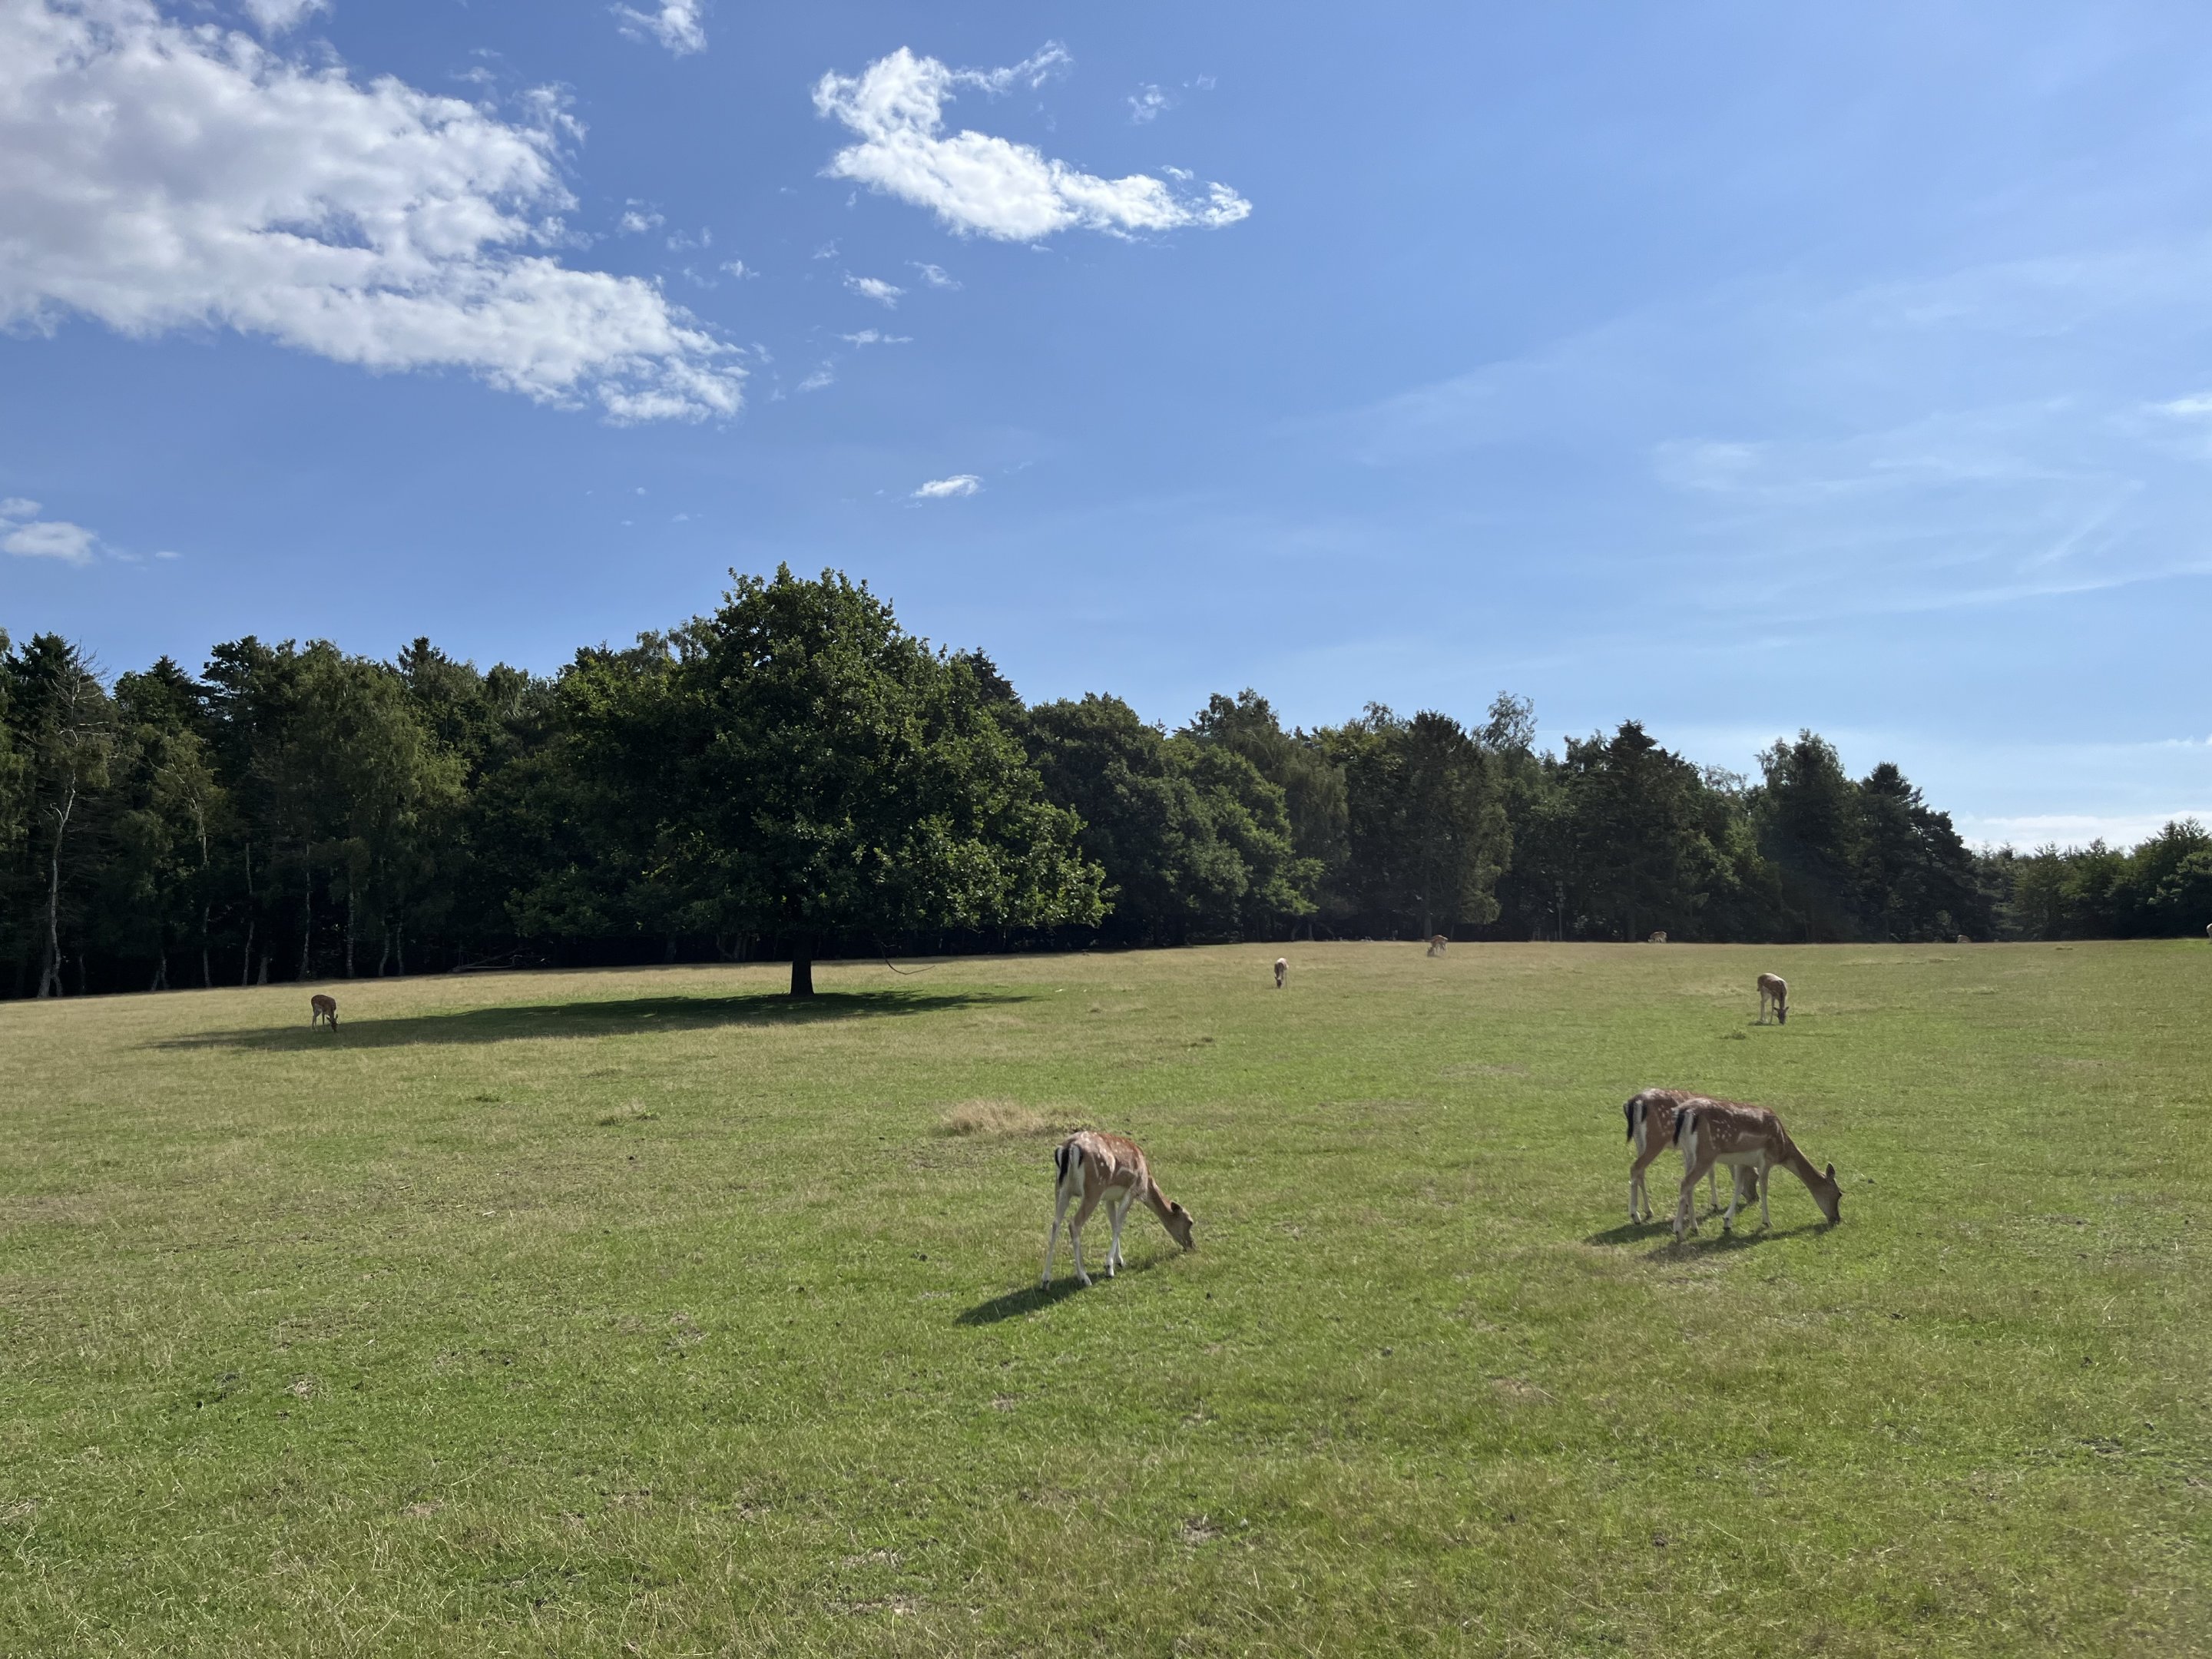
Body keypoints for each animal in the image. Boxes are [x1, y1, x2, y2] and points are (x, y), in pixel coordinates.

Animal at [1042, 1131, 1195, 1288]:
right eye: (1190, 1222)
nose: (1191, 1245)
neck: (1146, 1185)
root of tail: (1069, 1147)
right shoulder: (1132, 1191)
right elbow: (1119, 1226)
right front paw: (1109, 1268)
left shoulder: (1109, 1198)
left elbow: (1114, 1223)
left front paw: (1119, 1261)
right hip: (1094, 1188)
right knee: (1074, 1223)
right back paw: (1084, 1277)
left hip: (1061, 1188)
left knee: (1055, 1224)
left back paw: (1046, 1280)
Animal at [1671, 1097, 1841, 1241]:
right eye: (1839, 1194)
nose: (1837, 1219)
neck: (1783, 1150)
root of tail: (1685, 1112)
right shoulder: (1766, 1159)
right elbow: (1764, 1188)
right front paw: (1767, 1222)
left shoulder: (1742, 1161)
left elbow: (1738, 1187)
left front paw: (1727, 1221)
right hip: (1707, 1152)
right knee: (1685, 1183)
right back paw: (1679, 1231)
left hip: (1688, 1153)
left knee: (1689, 1186)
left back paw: (1695, 1227)